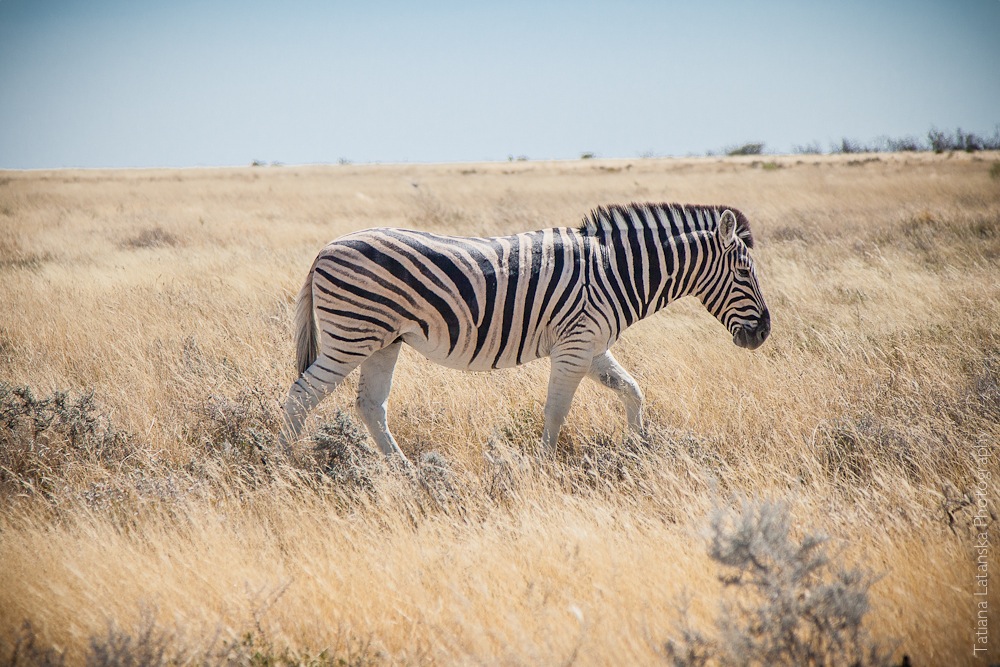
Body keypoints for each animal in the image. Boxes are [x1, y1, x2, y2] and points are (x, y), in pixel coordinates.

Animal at [282, 201, 772, 462]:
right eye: (745, 273)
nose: (764, 333)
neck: (615, 272)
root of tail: (324, 249)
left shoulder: (592, 346)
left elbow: (633, 391)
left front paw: (638, 450)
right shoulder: (575, 346)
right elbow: (556, 411)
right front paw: (546, 467)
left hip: (384, 341)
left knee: (369, 406)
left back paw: (406, 473)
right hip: (352, 336)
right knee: (301, 395)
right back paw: (283, 464)